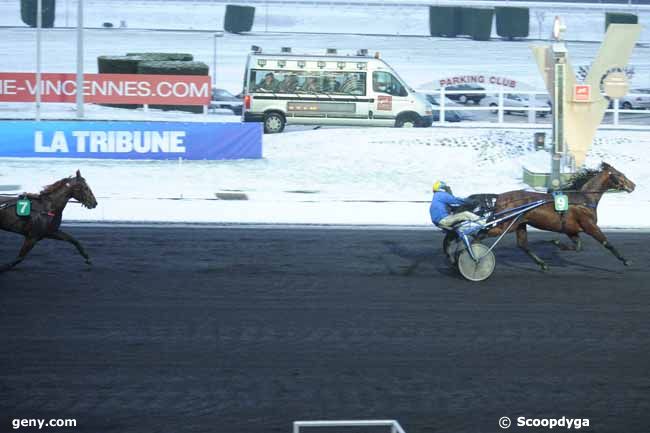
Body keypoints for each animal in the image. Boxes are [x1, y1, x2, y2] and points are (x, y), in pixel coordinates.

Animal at [486, 162, 632, 270]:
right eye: (620, 174)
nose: (633, 185)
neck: (584, 199)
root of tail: (499, 197)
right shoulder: (590, 225)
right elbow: (607, 243)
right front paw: (625, 260)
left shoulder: (570, 230)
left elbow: (578, 247)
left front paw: (556, 243)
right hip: (505, 225)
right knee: (482, 234)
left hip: (520, 224)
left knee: (523, 245)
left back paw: (543, 264)